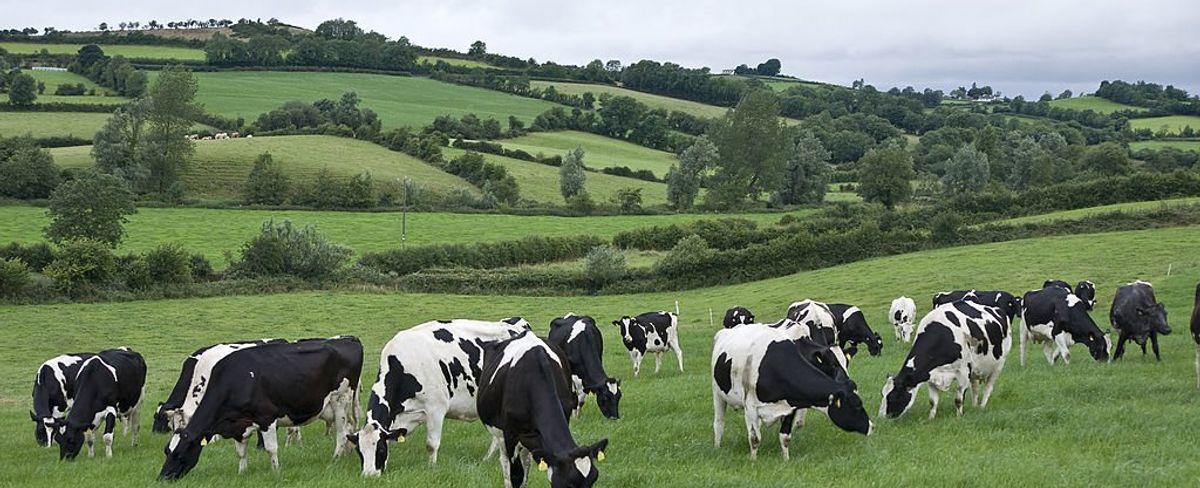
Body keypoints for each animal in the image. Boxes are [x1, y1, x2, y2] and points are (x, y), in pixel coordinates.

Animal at [159, 337, 362, 480]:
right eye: (167, 451)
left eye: (179, 454)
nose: (163, 477)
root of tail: (347, 340)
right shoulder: (238, 425)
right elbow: (240, 452)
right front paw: (242, 473)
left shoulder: (267, 418)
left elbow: (271, 449)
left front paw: (276, 471)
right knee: (350, 428)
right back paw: (347, 454)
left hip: (341, 401)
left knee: (342, 433)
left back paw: (335, 459)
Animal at [348, 319, 529, 476]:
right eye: (359, 451)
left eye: (379, 449)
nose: (369, 475)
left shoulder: (436, 408)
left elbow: (431, 444)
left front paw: (431, 468)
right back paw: (488, 458)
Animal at [478, 330, 608, 488]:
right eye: (569, 484)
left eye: (592, 481)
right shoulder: (510, 434)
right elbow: (515, 475)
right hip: (500, 434)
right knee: (505, 463)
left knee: (526, 462)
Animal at [712, 322, 872, 460]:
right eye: (857, 404)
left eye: (846, 362)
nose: (871, 427)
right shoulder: (750, 406)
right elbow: (755, 438)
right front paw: (753, 460)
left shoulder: (791, 404)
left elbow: (785, 436)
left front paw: (786, 459)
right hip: (717, 393)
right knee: (719, 422)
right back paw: (717, 447)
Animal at [880, 301, 1011, 420]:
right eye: (882, 394)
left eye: (892, 397)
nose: (882, 417)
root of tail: (997, 310)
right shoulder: (930, 375)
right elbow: (932, 401)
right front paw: (931, 418)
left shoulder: (964, 372)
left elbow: (958, 399)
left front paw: (958, 417)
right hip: (975, 368)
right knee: (975, 387)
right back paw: (974, 406)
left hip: (998, 365)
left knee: (988, 387)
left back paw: (982, 406)